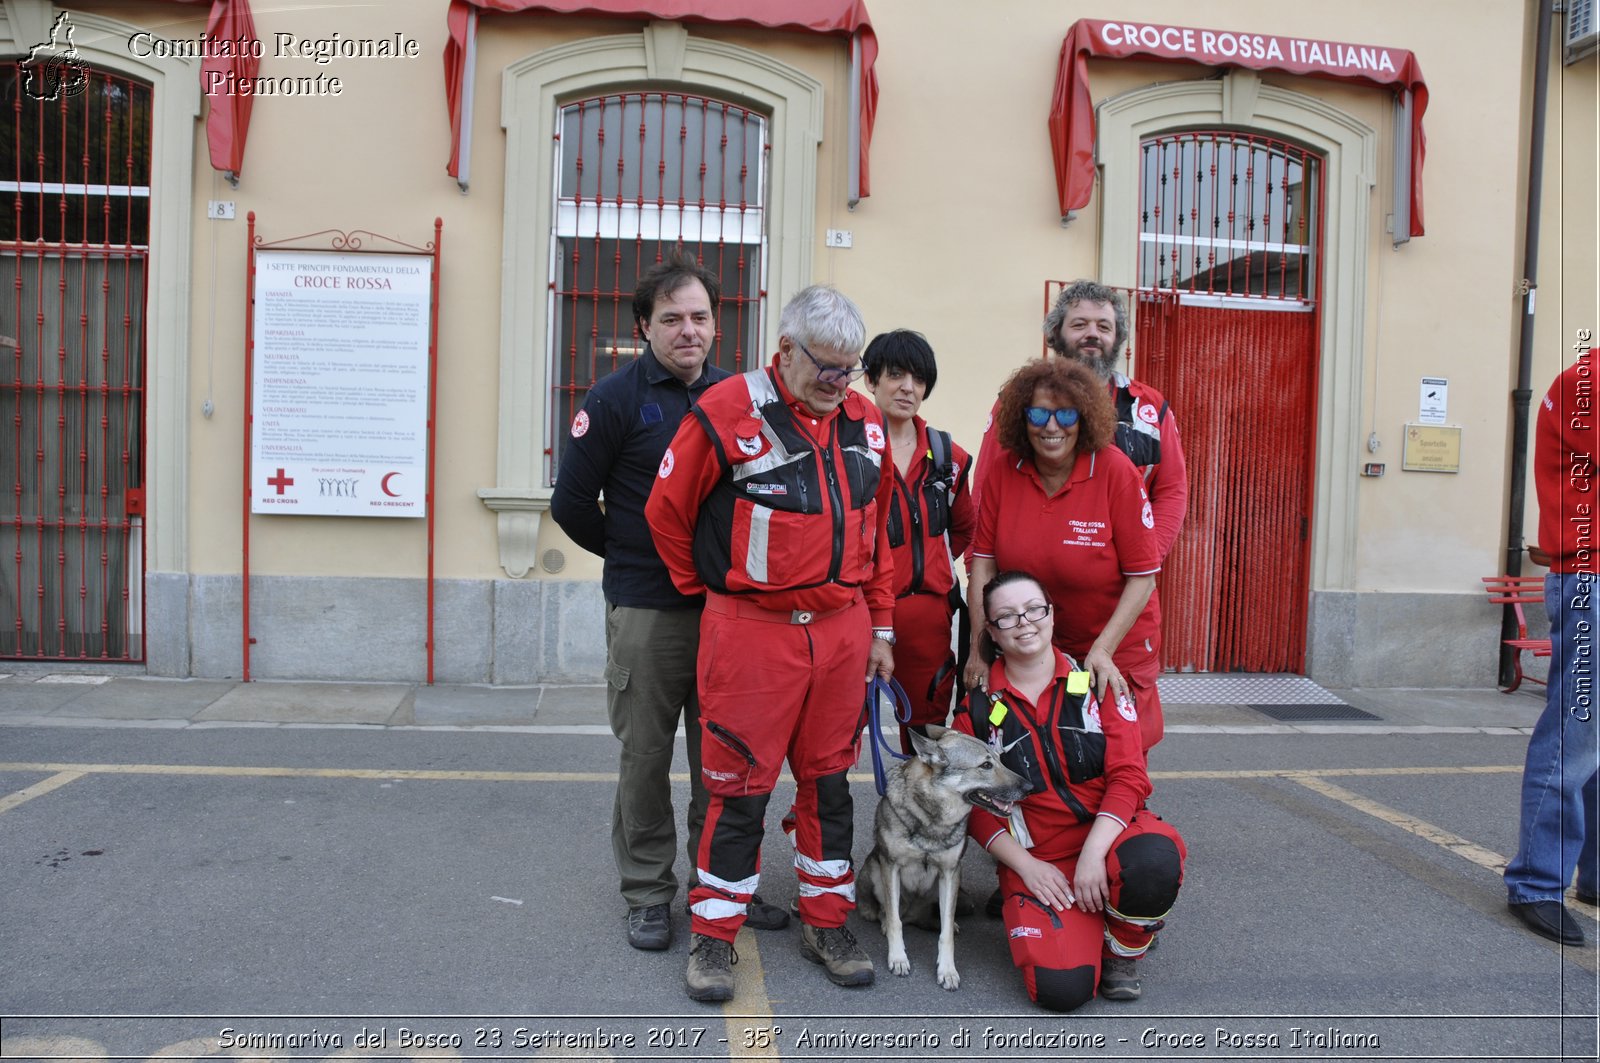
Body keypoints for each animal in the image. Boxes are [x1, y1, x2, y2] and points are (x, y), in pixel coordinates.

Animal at [857, 723, 1030, 986]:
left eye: (1000, 760)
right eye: (985, 765)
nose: (1029, 787)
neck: (933, 820)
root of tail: (913, 915)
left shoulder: (950, 872)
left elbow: (945, 933)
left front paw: (947, 970)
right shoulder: (891, 865)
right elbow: (895, 922)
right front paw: (898, 957)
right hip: (876, 869)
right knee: (888, 912)